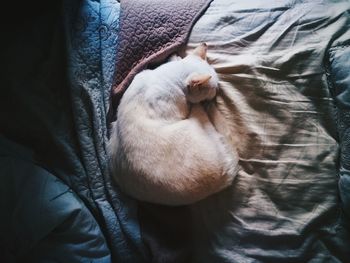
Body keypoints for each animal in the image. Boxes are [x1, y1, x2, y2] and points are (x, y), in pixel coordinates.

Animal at [107, 43, 238, 206]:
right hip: (197, 119)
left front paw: (174, 56)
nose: (215, 95)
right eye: (213, 89)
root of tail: (226, 177)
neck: (166, 76)